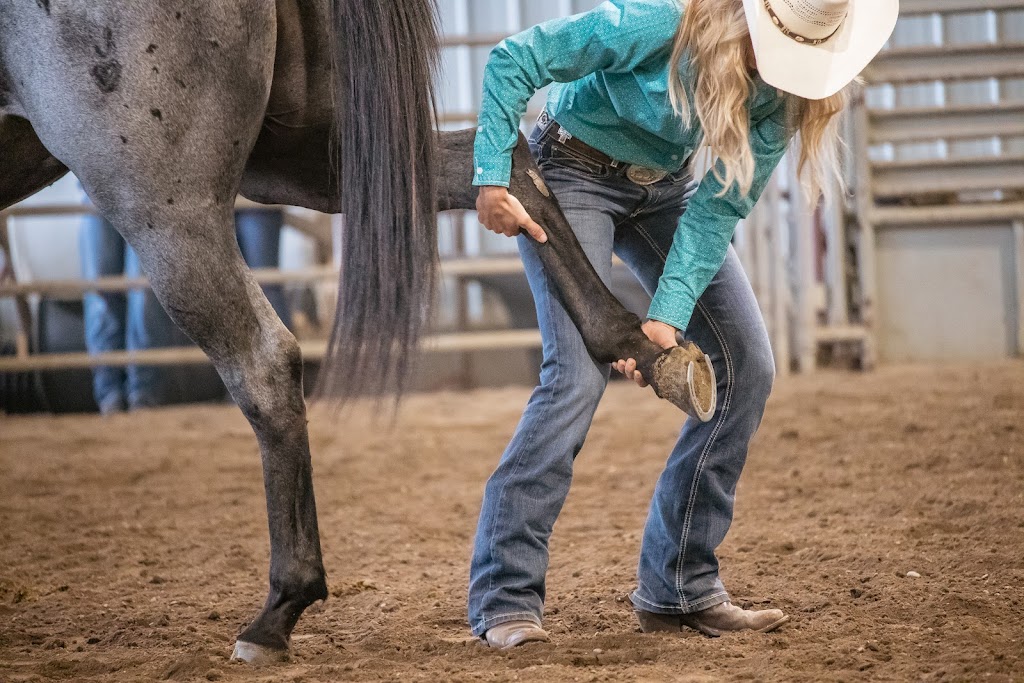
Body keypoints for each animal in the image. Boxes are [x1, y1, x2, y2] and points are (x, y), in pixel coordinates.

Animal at [0, 0, 716, 667]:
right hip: (306, 151)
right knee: (505, 166)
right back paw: (639, 345)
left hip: (166, 200)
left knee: (263, 360)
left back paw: (277, 612)